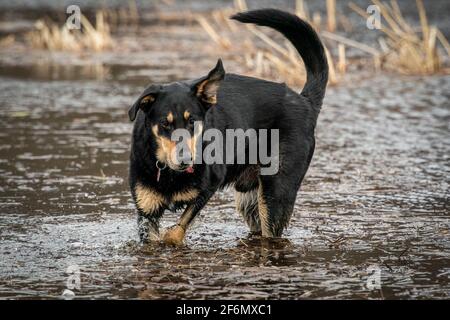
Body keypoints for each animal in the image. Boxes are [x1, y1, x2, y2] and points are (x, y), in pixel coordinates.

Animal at [126, 9, 326, 245]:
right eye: (165, 123)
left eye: (192, 121)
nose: (186, 160)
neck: (169, 171)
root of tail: (305, 102)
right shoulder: (146, 212)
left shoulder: (209, 187)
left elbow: (178, 227)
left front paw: (172, 238)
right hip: (250, 201)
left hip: (275, 193)